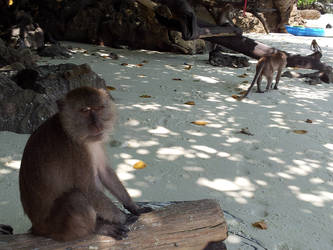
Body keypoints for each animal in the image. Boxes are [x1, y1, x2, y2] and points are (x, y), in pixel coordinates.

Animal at [19, 87, 150, 241]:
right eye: (85, 110)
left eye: (98, 108)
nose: (97, 125)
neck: (71, 131)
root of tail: (37, 227)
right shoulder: (76, 151)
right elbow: (88, 188)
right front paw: (123, 218)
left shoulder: (96, 143)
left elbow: (105, 173)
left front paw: (134, 207)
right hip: (55, 227)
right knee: (76, 198)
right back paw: (97, 228)